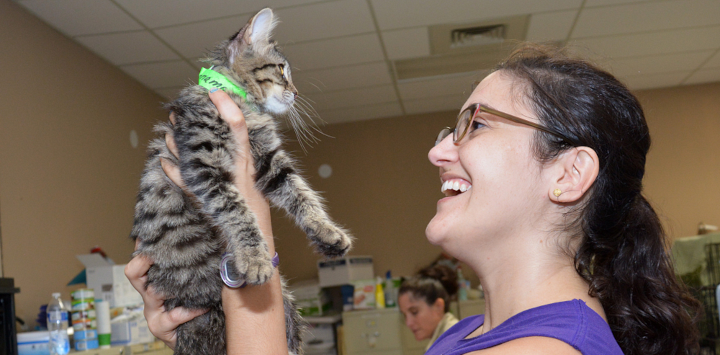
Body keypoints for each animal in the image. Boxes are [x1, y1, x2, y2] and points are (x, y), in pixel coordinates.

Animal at [132, 9, 354, 355]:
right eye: (281, 70)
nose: (296, 93)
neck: (243, 104)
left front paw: (327, 232)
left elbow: (302, 194)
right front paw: (254, 258)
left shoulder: (270, 161)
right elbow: (236, 210)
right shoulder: (203, 163)